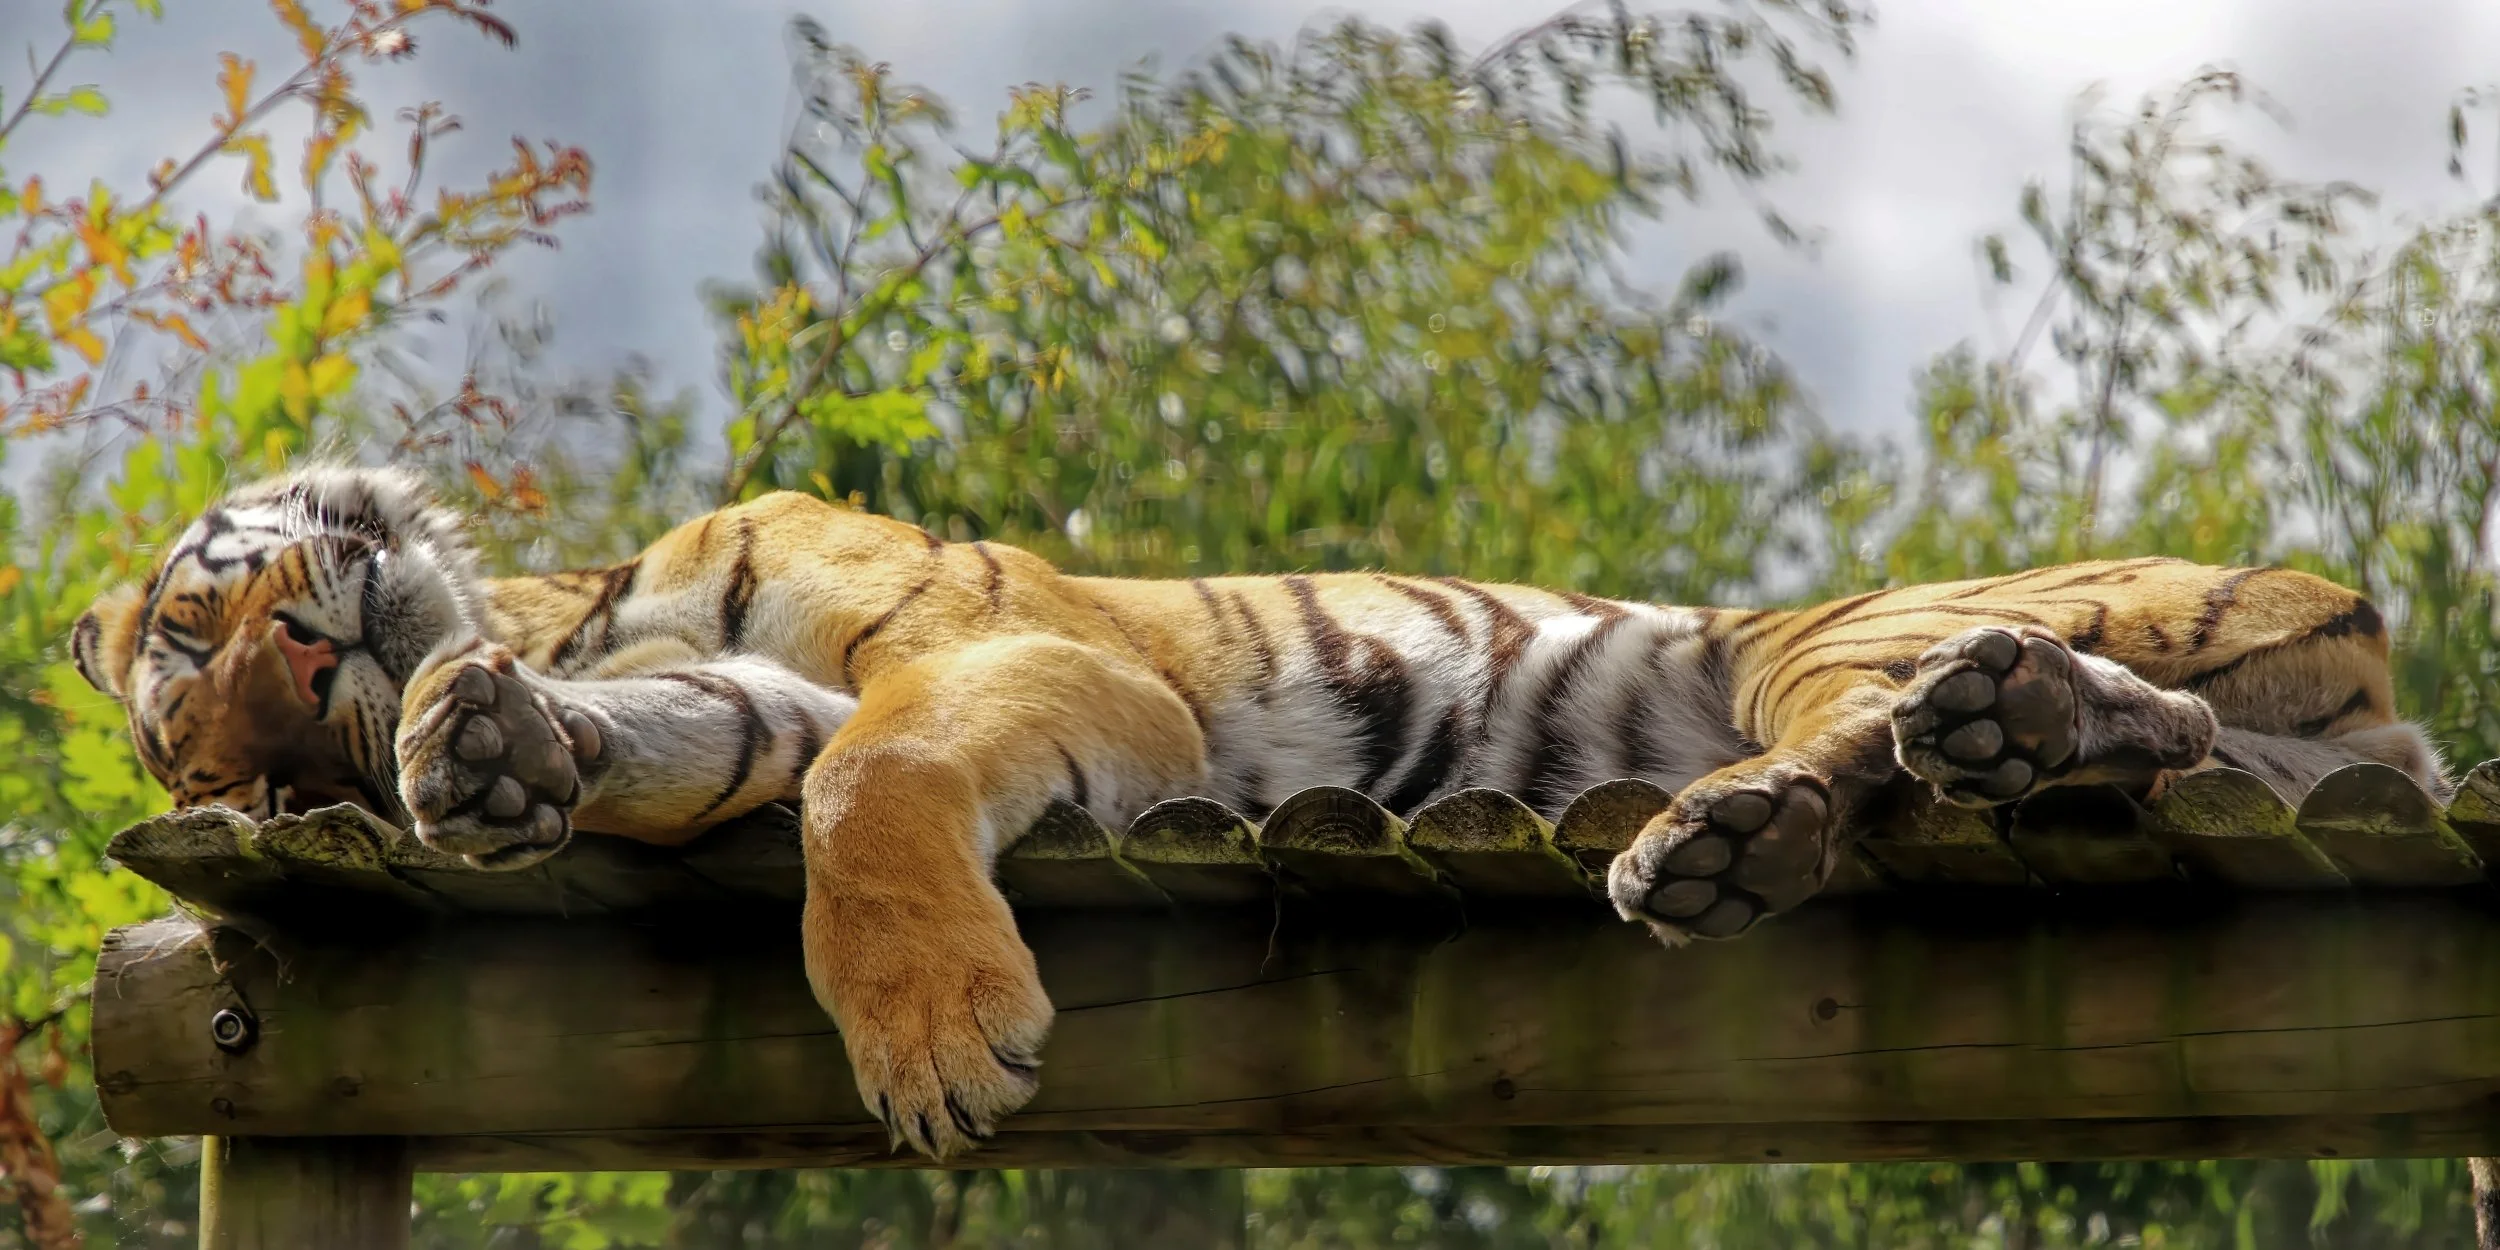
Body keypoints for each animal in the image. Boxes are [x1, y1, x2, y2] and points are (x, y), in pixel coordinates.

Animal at [69, 465, 2448, 1159]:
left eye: (202, 624)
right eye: (247, 779)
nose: (312, 700)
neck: (573, 592)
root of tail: (2364, 640)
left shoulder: (991, 656)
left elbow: (866, 790)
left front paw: (940, 1053)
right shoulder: (737, 697)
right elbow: (692, 741)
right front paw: (486, 751)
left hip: (1836, 633)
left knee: (1910, 726)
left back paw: (1751, 828)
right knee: (2149, 738)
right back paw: (1990, 746)